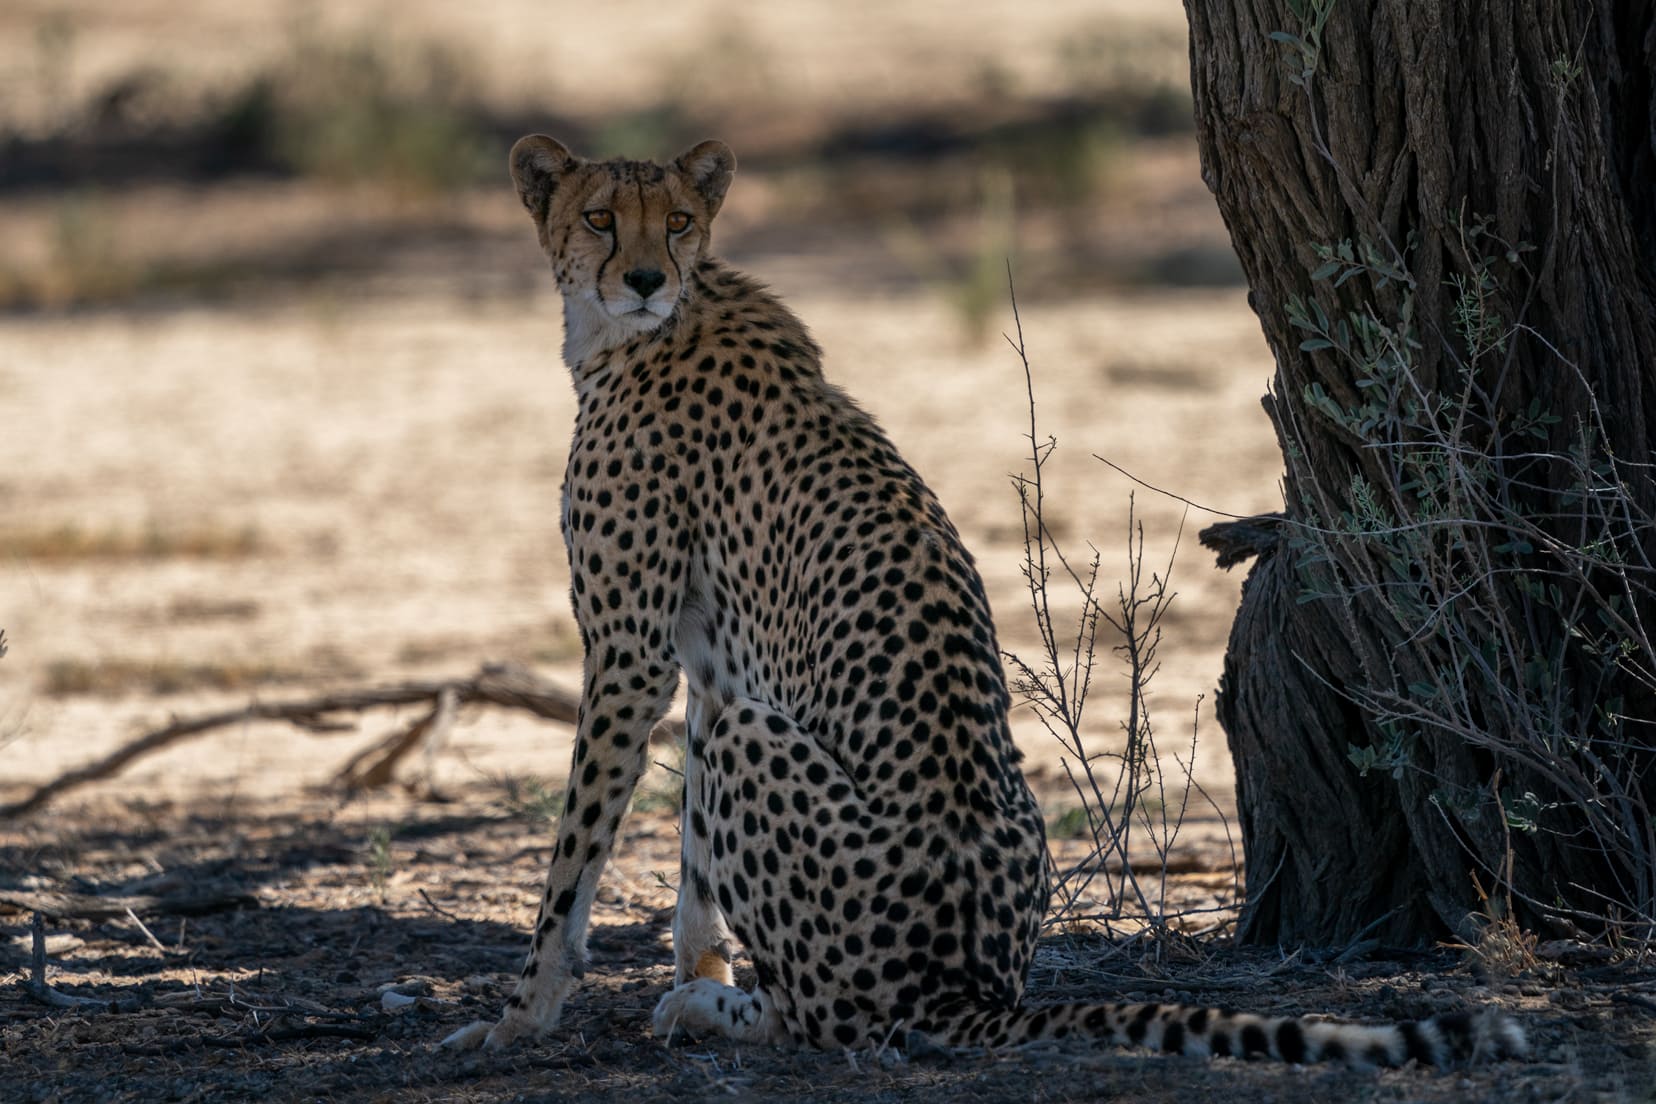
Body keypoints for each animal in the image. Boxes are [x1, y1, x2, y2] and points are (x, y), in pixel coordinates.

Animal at [443, 134, 1523, 1065]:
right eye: (598, 217)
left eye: (673, 221)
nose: (644, 278)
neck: (652, 326)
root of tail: (974, 990)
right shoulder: (705, 663)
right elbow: (693, 857)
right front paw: (693, 964)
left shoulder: (631, 655)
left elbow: (575, 856)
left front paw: (524, 1015)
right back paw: (711, 998)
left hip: (768, 750)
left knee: (831, 1018)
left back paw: (716, 1012)